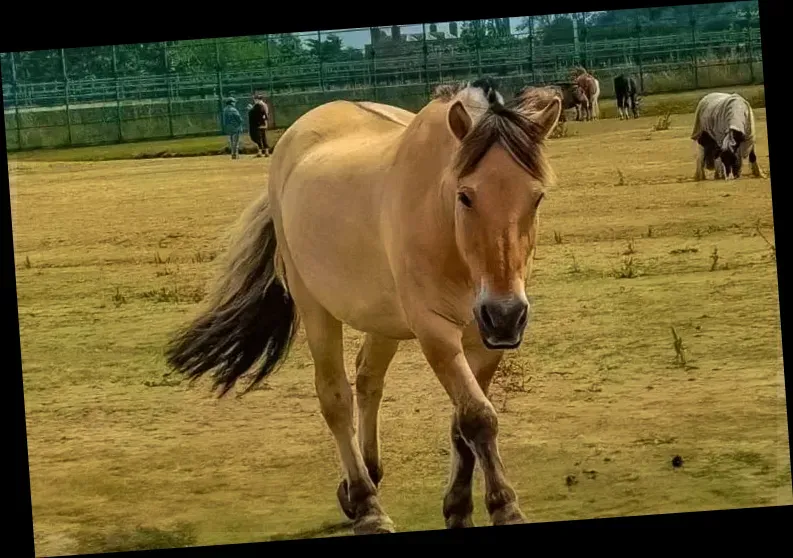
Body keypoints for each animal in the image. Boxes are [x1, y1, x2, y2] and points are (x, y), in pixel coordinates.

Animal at [166, 80, 564, 540]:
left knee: (368, 378)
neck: (443, 225)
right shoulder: (435, 331)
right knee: (335, 397)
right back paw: (366, 503)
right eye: (465, 196)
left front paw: (458, 507)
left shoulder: (485, 341)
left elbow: (461, 423)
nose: (504, 314)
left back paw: (365, 479)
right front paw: (505, 507)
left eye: (537, 197)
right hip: (315, 305)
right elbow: (477, 417)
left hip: (385, 319)